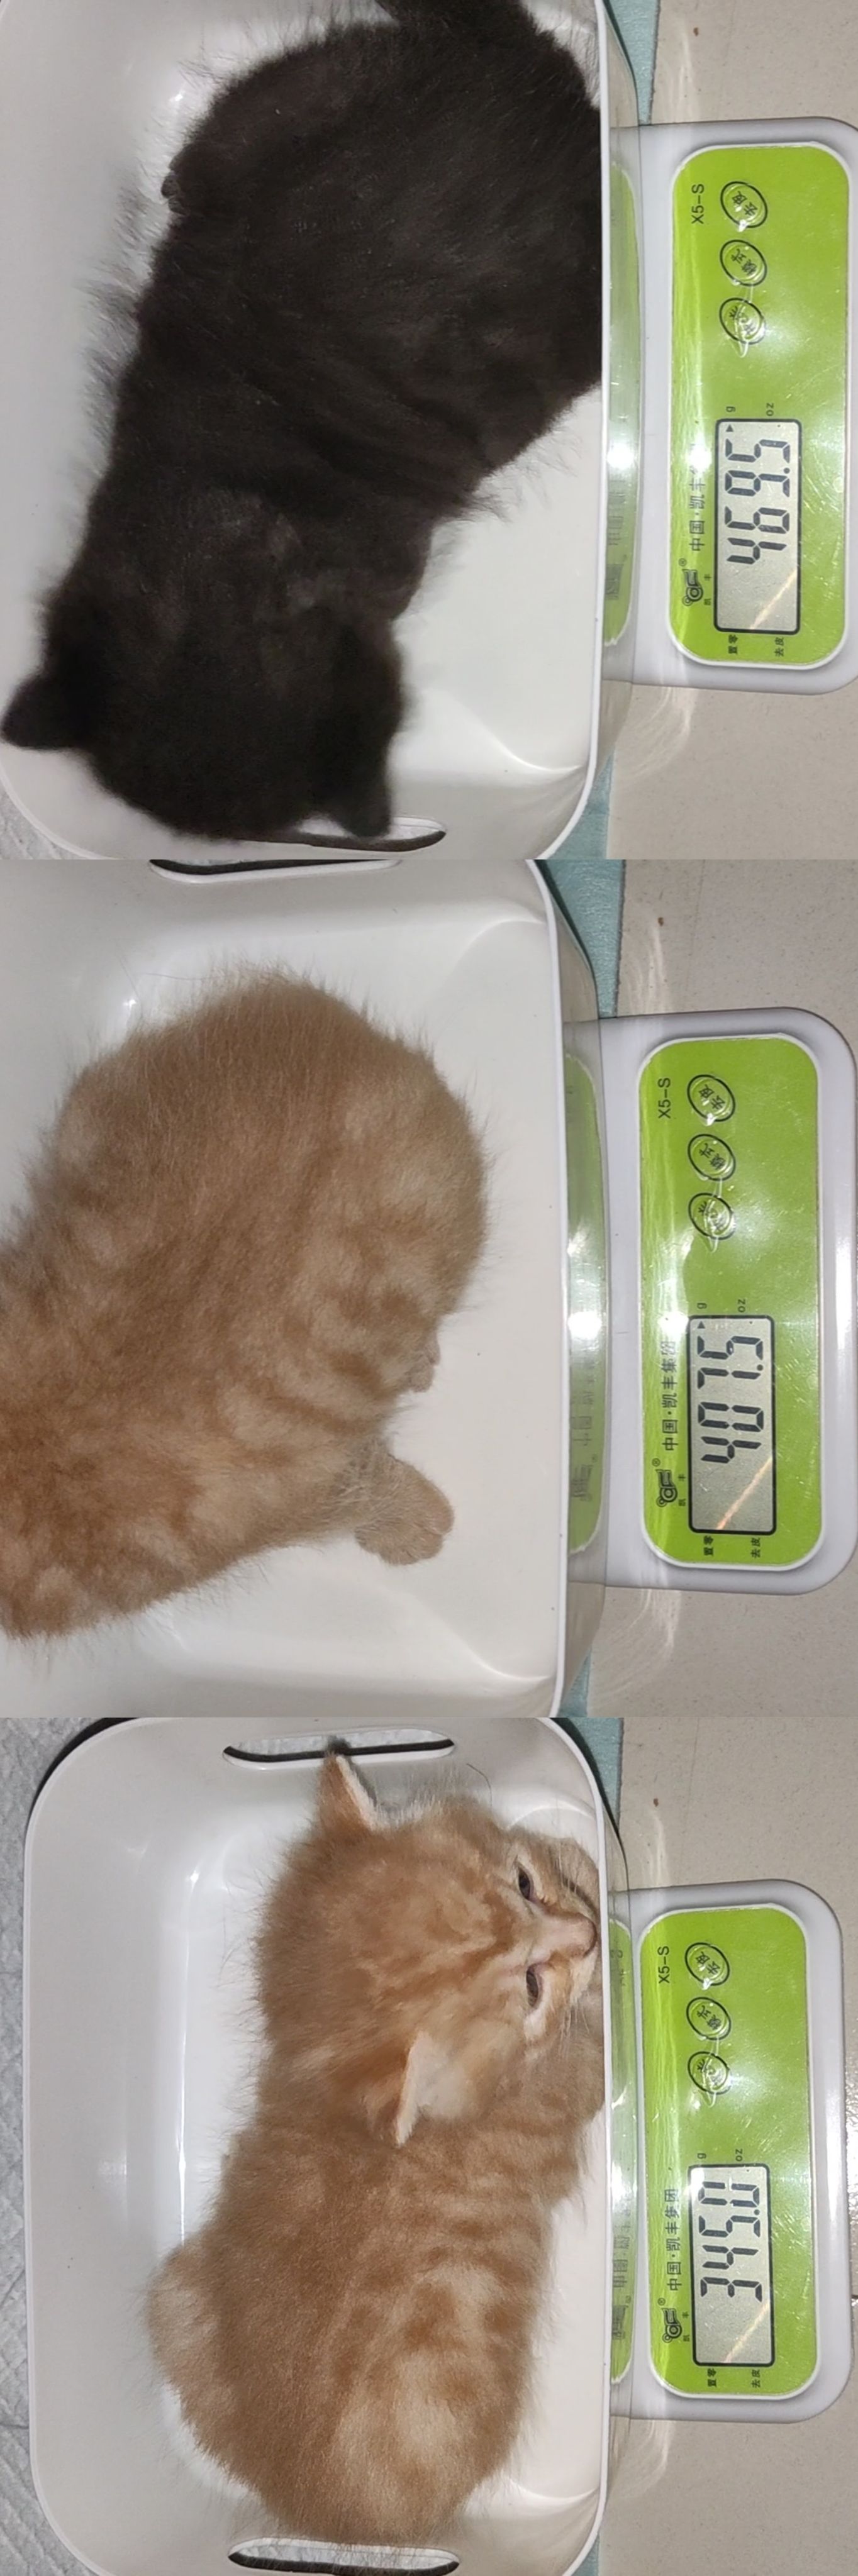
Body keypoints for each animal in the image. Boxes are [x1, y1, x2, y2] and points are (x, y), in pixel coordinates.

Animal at [149, 1749, 604, 2543]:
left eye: (523, 1883)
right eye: (529, 1985)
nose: (584, 1935)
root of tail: (308, 2509)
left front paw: (568, 1856)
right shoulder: (568, 2092)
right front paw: (596, 1878)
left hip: (174, 2295)